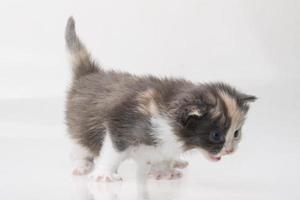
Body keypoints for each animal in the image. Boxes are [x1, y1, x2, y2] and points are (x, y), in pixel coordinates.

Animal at [65, 18, 255, 182]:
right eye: (216, 135)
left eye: (236, 133)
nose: (230, 150)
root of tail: (90, 73)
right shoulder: (120, 126)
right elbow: (112, 153)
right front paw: (104, 174)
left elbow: (164, 156)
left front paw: (164, 171)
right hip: (78, 125)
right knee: (79, 146)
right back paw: (82, 165)